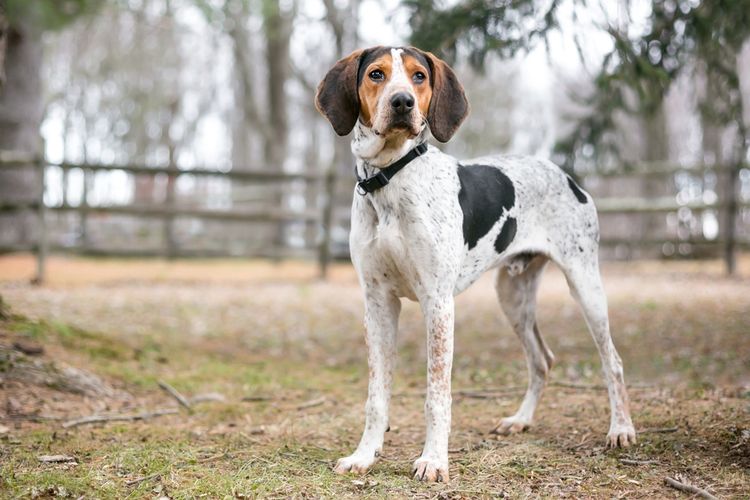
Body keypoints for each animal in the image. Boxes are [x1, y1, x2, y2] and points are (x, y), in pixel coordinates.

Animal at [314, 47, 636, 484]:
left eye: (418, 76)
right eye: (376, 74)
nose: (403, 103)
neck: (390, 178)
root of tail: (566, 175)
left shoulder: (437, 303)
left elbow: (437, 395)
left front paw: (433, 460)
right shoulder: (378, 303)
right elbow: (376, 396)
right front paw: (364, 455)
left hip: (585, 285)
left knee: (612, 361)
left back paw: (621, 429)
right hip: (512, 297)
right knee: (542, 360)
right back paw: (520, 420)